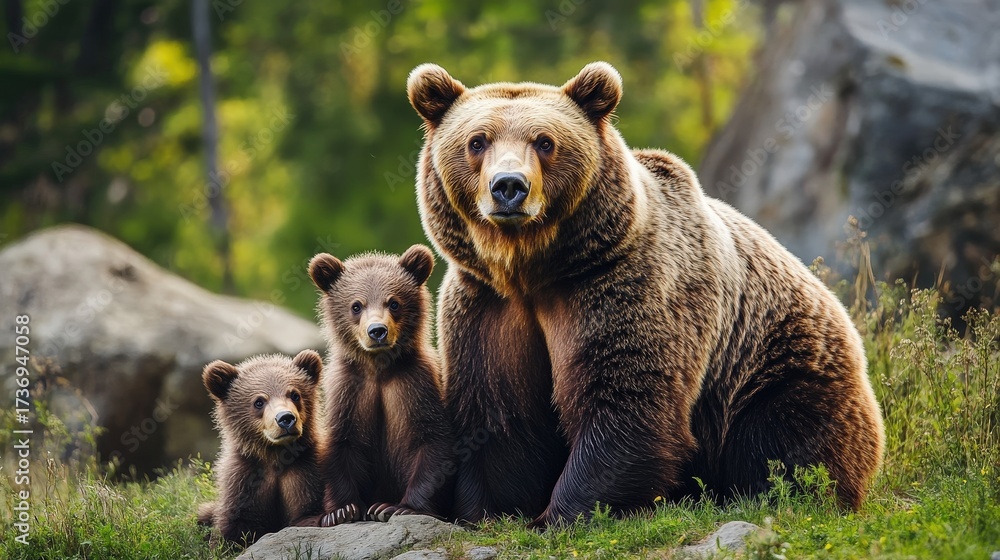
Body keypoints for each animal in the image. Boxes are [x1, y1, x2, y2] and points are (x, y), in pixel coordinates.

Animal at [197, 350, 326, 545]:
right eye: (259, 401)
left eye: (295, 395)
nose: (286, 418)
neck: (274, 455)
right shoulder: (244, 479)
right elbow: (236, 525)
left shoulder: (306, 471)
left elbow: (307, 510)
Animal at [309, 245, 452, 525]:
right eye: (356, 305)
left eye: (394, 302)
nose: (377, 331)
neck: (379, 371)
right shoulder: (348, 391)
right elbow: (341, 444)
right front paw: (341, 511)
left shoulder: (416, 386)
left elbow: (432, 442)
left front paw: (398, 507)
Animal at [406, 61, 886, 526]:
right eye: (477, 141)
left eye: (544, 142)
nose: (509, 186)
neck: (535, 270)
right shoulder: (488, 306)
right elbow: (497, 414)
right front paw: (484, 511)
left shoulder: (623, 288)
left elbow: (627, 401)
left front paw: (560, 513)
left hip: (776, 366)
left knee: (786, 441)